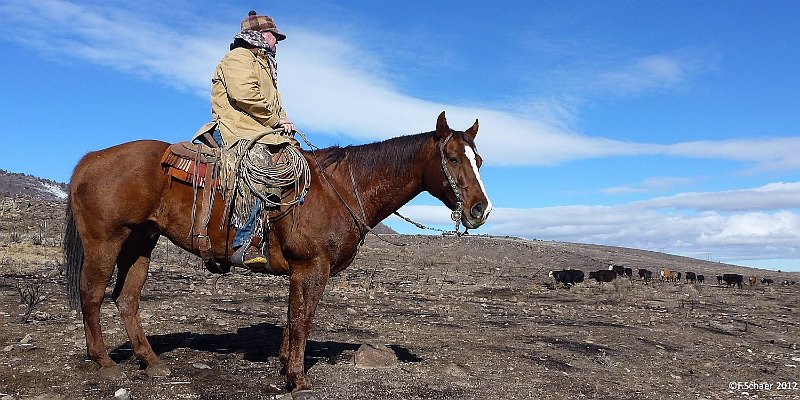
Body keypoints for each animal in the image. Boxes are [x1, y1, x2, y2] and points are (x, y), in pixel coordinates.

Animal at [65, 111, 494, 394]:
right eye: (452, 158)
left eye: (479, 159)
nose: (480, 210)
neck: (340, 189)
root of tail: (90, 158)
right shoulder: (311, 267)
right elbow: (302, 320)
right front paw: (298, 379)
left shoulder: (302, 271)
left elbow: (292, 318)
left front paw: (287, 367)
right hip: (106, 240)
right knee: (92, 294)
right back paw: (104, 362)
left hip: (141, 241)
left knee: (127, 299)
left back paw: (152, 362)